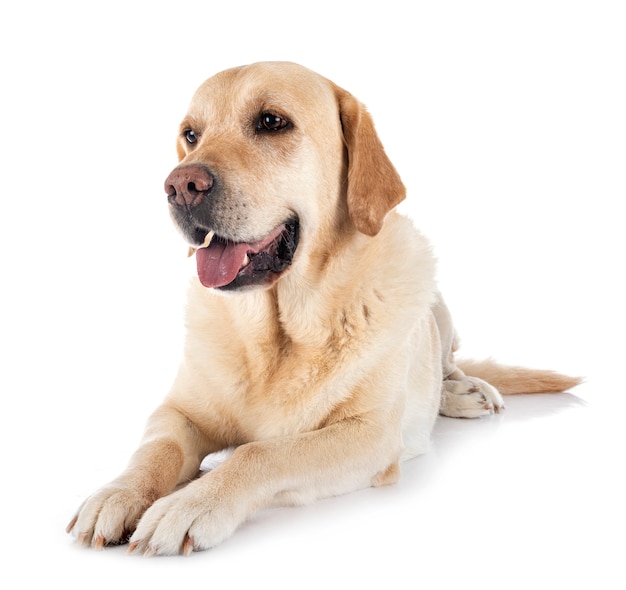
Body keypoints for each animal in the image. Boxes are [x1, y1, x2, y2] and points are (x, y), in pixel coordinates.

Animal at [66, 62, 576, 556]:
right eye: (191, 134)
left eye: (272, 122)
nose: (180, 185)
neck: (277, 334)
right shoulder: (177, 412)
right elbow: (158, 449)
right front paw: (117, 493)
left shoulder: (369, 434)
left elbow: (260, 453)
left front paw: (190, 504)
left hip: (435, 302)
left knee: (447, 364)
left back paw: (465, 391)